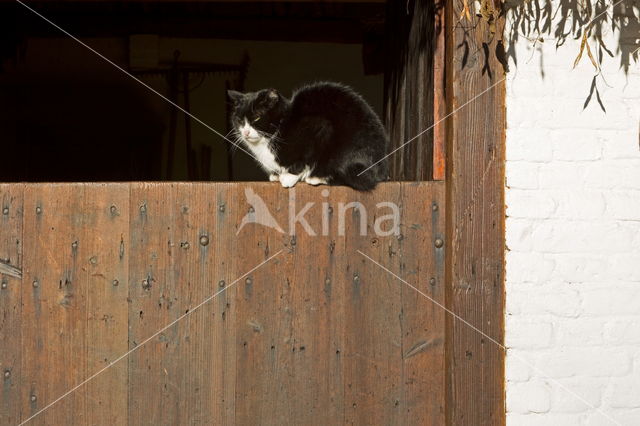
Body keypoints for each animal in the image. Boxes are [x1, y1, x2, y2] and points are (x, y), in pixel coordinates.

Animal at [230, 81, 390, 191]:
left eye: (257, 117)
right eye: (239, 120)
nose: (245, 132)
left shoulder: (319, 127)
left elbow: (303, 159)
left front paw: (289, 176)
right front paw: (276, 175)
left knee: (359, 180)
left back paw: (316, 177)